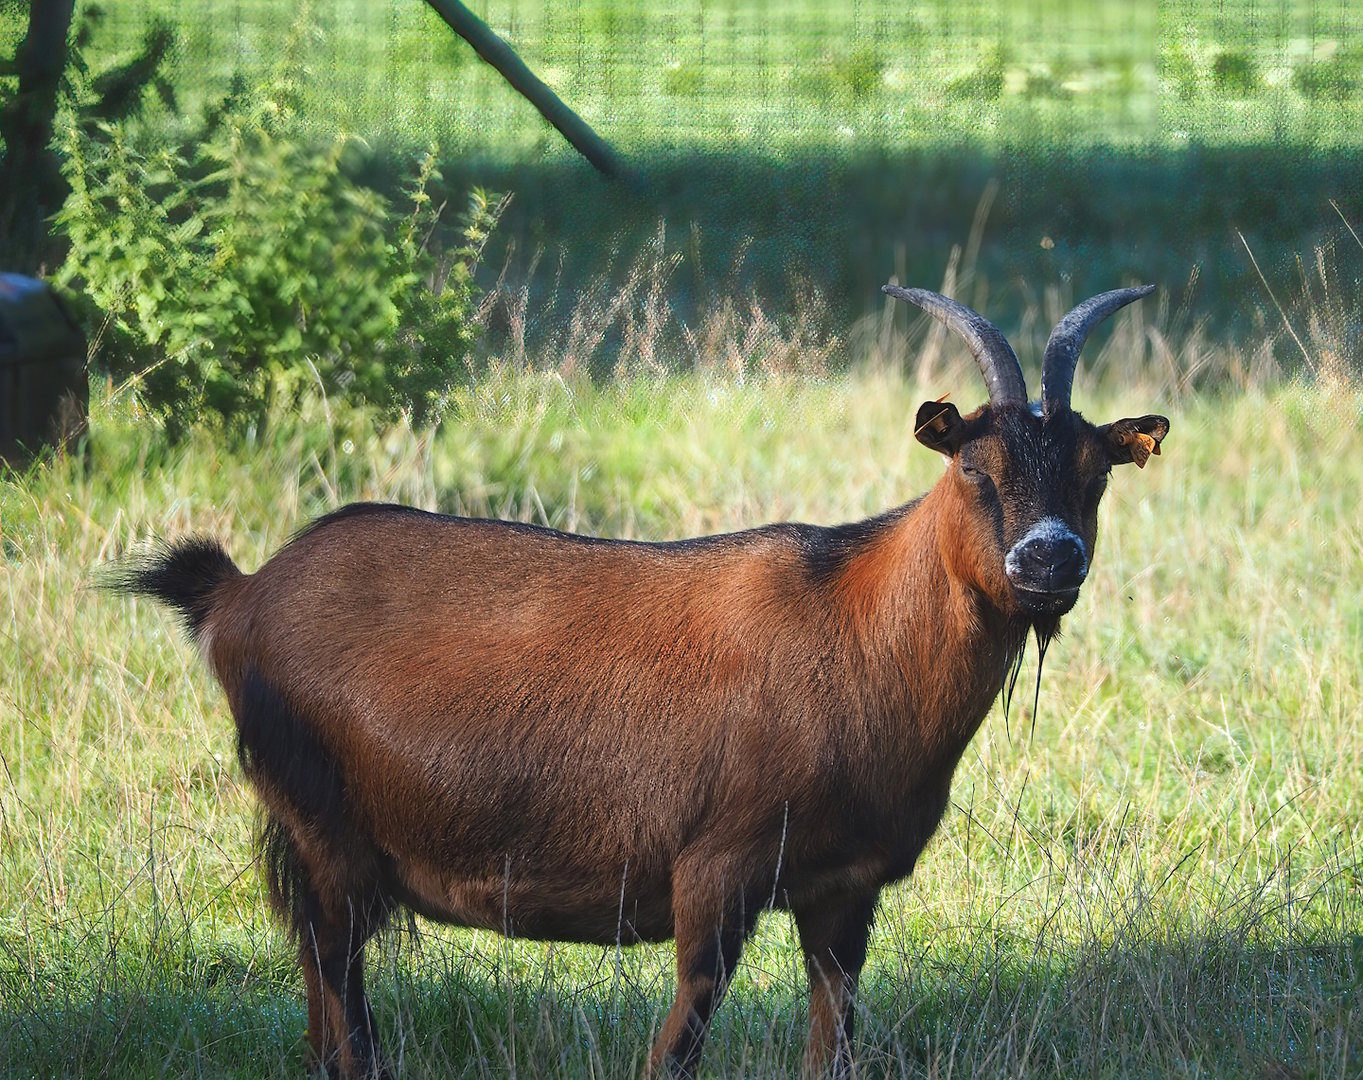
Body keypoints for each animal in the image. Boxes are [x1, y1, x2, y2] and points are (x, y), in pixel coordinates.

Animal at [110, 285, 1169, 1079]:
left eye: (1095, 477)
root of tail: (237, 594)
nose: (1049, 561)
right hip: (324, 832)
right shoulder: (714, 871)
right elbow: (679, 1045)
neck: (857, 631)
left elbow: (834, 1047)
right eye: (974, 470)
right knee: (344, 1009)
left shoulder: (843, 891)